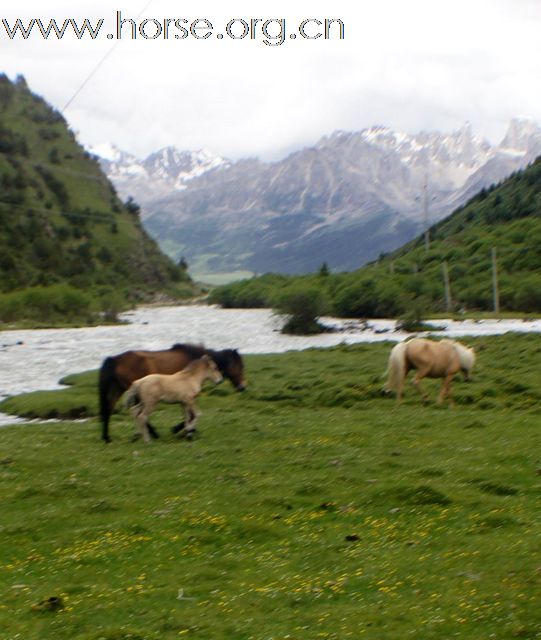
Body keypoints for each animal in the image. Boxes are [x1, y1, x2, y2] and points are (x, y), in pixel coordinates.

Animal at [98, 342, 246, 442]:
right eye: (239, 366)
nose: (243, 387)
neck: (190, 375)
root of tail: (114, 359)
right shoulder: (188, 399)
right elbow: (193, 415)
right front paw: (184, 430)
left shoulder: (184, 401)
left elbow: (188, 416)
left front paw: (188, 432)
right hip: (143, 399)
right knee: (141, 415)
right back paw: (149, 436)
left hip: (119, 389)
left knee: (112, 410)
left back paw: (110, 437)